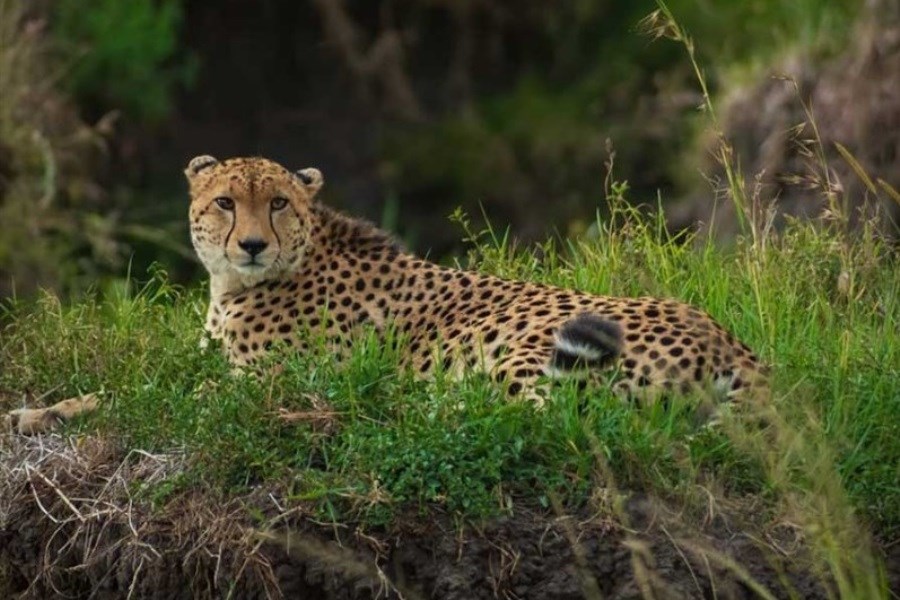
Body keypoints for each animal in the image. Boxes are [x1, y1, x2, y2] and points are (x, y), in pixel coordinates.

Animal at [5, 157, 768, 434]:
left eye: (278, 204)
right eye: (225, 201)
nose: (250, 244)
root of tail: (734, 341)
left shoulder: (259, 380)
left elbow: (150, 398)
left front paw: (39, 415)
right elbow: (141, 386)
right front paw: (46, 408)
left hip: (525, 343)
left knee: (542, 415)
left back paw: (385, 404)